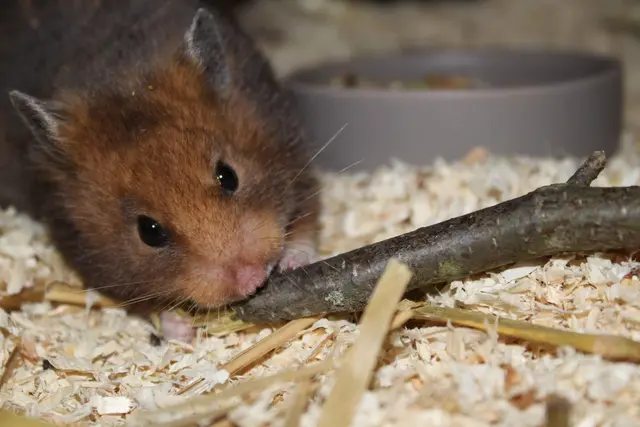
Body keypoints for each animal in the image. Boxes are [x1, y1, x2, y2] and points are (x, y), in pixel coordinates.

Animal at [0, 0, 320, 342]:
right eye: (149, 231)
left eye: (228, 176)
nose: (253, 279)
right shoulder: (89, 257)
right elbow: (143, 304)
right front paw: (182, 330)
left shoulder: (291, 144)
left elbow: (307, 218)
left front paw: (292, 261)